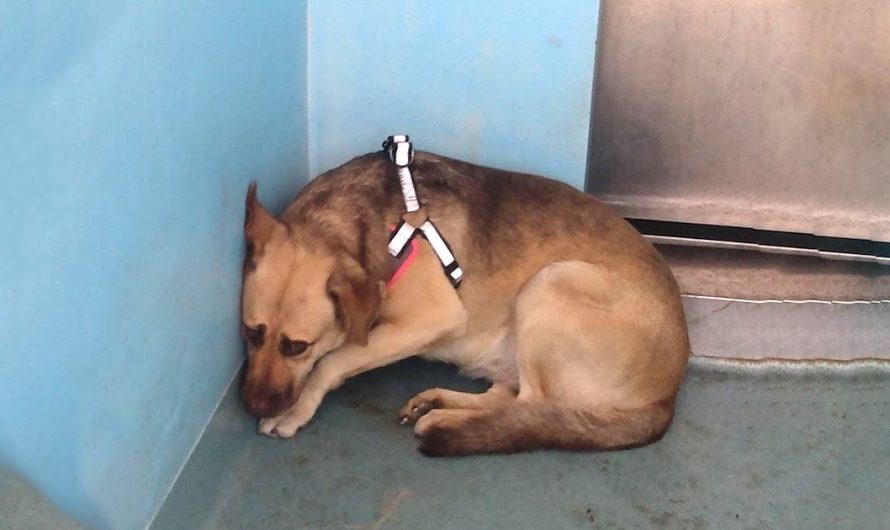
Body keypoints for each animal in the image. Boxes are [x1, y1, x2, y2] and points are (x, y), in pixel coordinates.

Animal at [239, 144, 692, 454]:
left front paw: (295, 409)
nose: (254, 406)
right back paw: (439, 402)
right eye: (251, 333)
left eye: (297, 346)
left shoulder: (431, 318)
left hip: (550, 282)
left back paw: (446, 420)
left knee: (528, 404)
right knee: (505, 398)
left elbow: (334, 360)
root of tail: (667, 398)